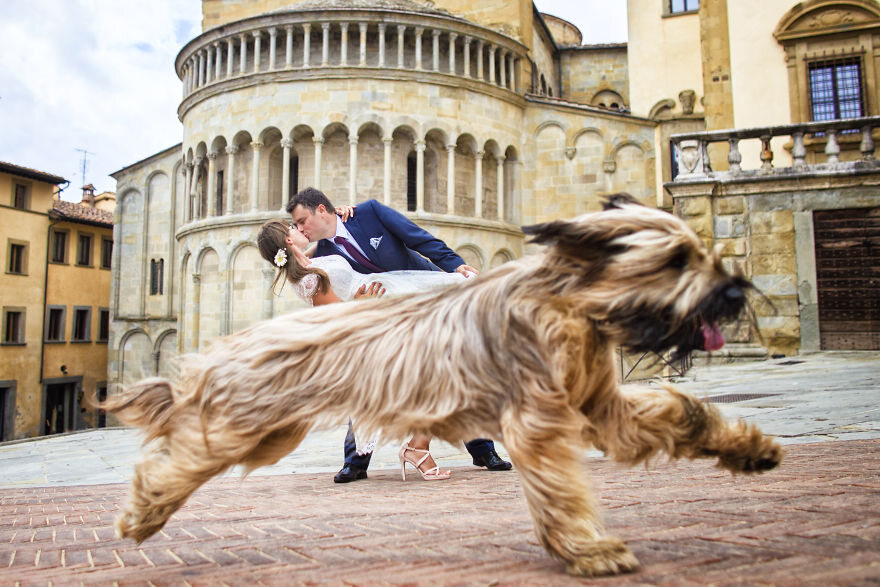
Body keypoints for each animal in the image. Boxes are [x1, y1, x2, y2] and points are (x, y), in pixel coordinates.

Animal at [103, 198, 784, 580]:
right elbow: (560, 490)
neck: (567, 305)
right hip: (255, 424)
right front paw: (589, 549)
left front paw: (751, 449)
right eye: (674, 261)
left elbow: (684, 413)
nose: (735, 292)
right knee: (179, 457)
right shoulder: (538, 422)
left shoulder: (603, 407)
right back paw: (143, 513)